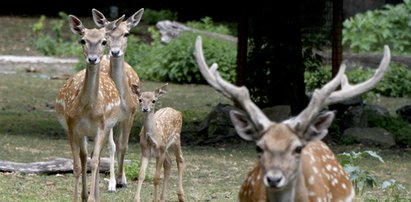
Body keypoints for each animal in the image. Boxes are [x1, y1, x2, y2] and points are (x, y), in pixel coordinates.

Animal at [55, 14, 124, 202]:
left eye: (104, 41)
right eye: (82, 40)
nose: (92, 59)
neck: (87, 108)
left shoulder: (101, 126)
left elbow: (95, 162)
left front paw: (93, 198)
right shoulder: (72, 127)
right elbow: (77, 165)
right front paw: (78, 197)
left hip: (106, 128)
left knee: (97, 157)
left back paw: (96, 195)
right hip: (84, 133)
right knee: (85, 157)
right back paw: (85, 194)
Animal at [91, 7, 145, 191]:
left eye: (126, 33)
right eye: (106, 35)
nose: (115, 52)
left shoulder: (131, 114)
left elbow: (124, 145)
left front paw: (123, 180)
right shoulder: (108, 117)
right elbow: (112, 146)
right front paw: (113, 183)